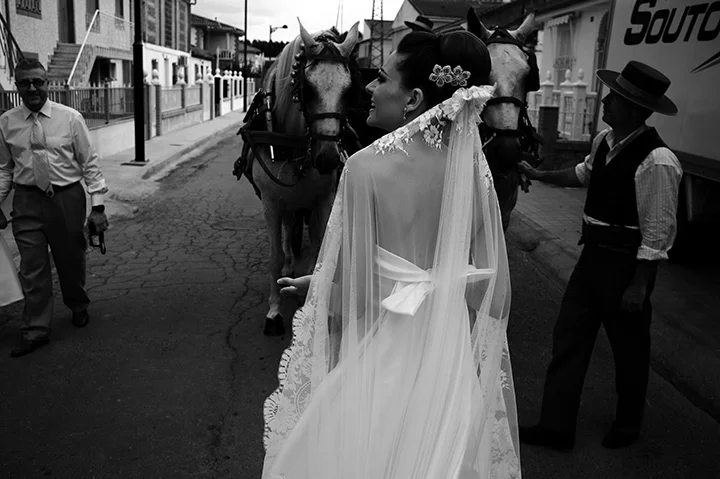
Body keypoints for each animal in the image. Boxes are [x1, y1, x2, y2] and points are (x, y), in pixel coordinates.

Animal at [238, 20, 360, 337]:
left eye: (348, 89)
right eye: (308, 88)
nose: (328, 158)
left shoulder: (323, 200)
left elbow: (320, 250)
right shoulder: (271, 203)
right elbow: (275, 256)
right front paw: (273, 311)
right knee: (288, 230)